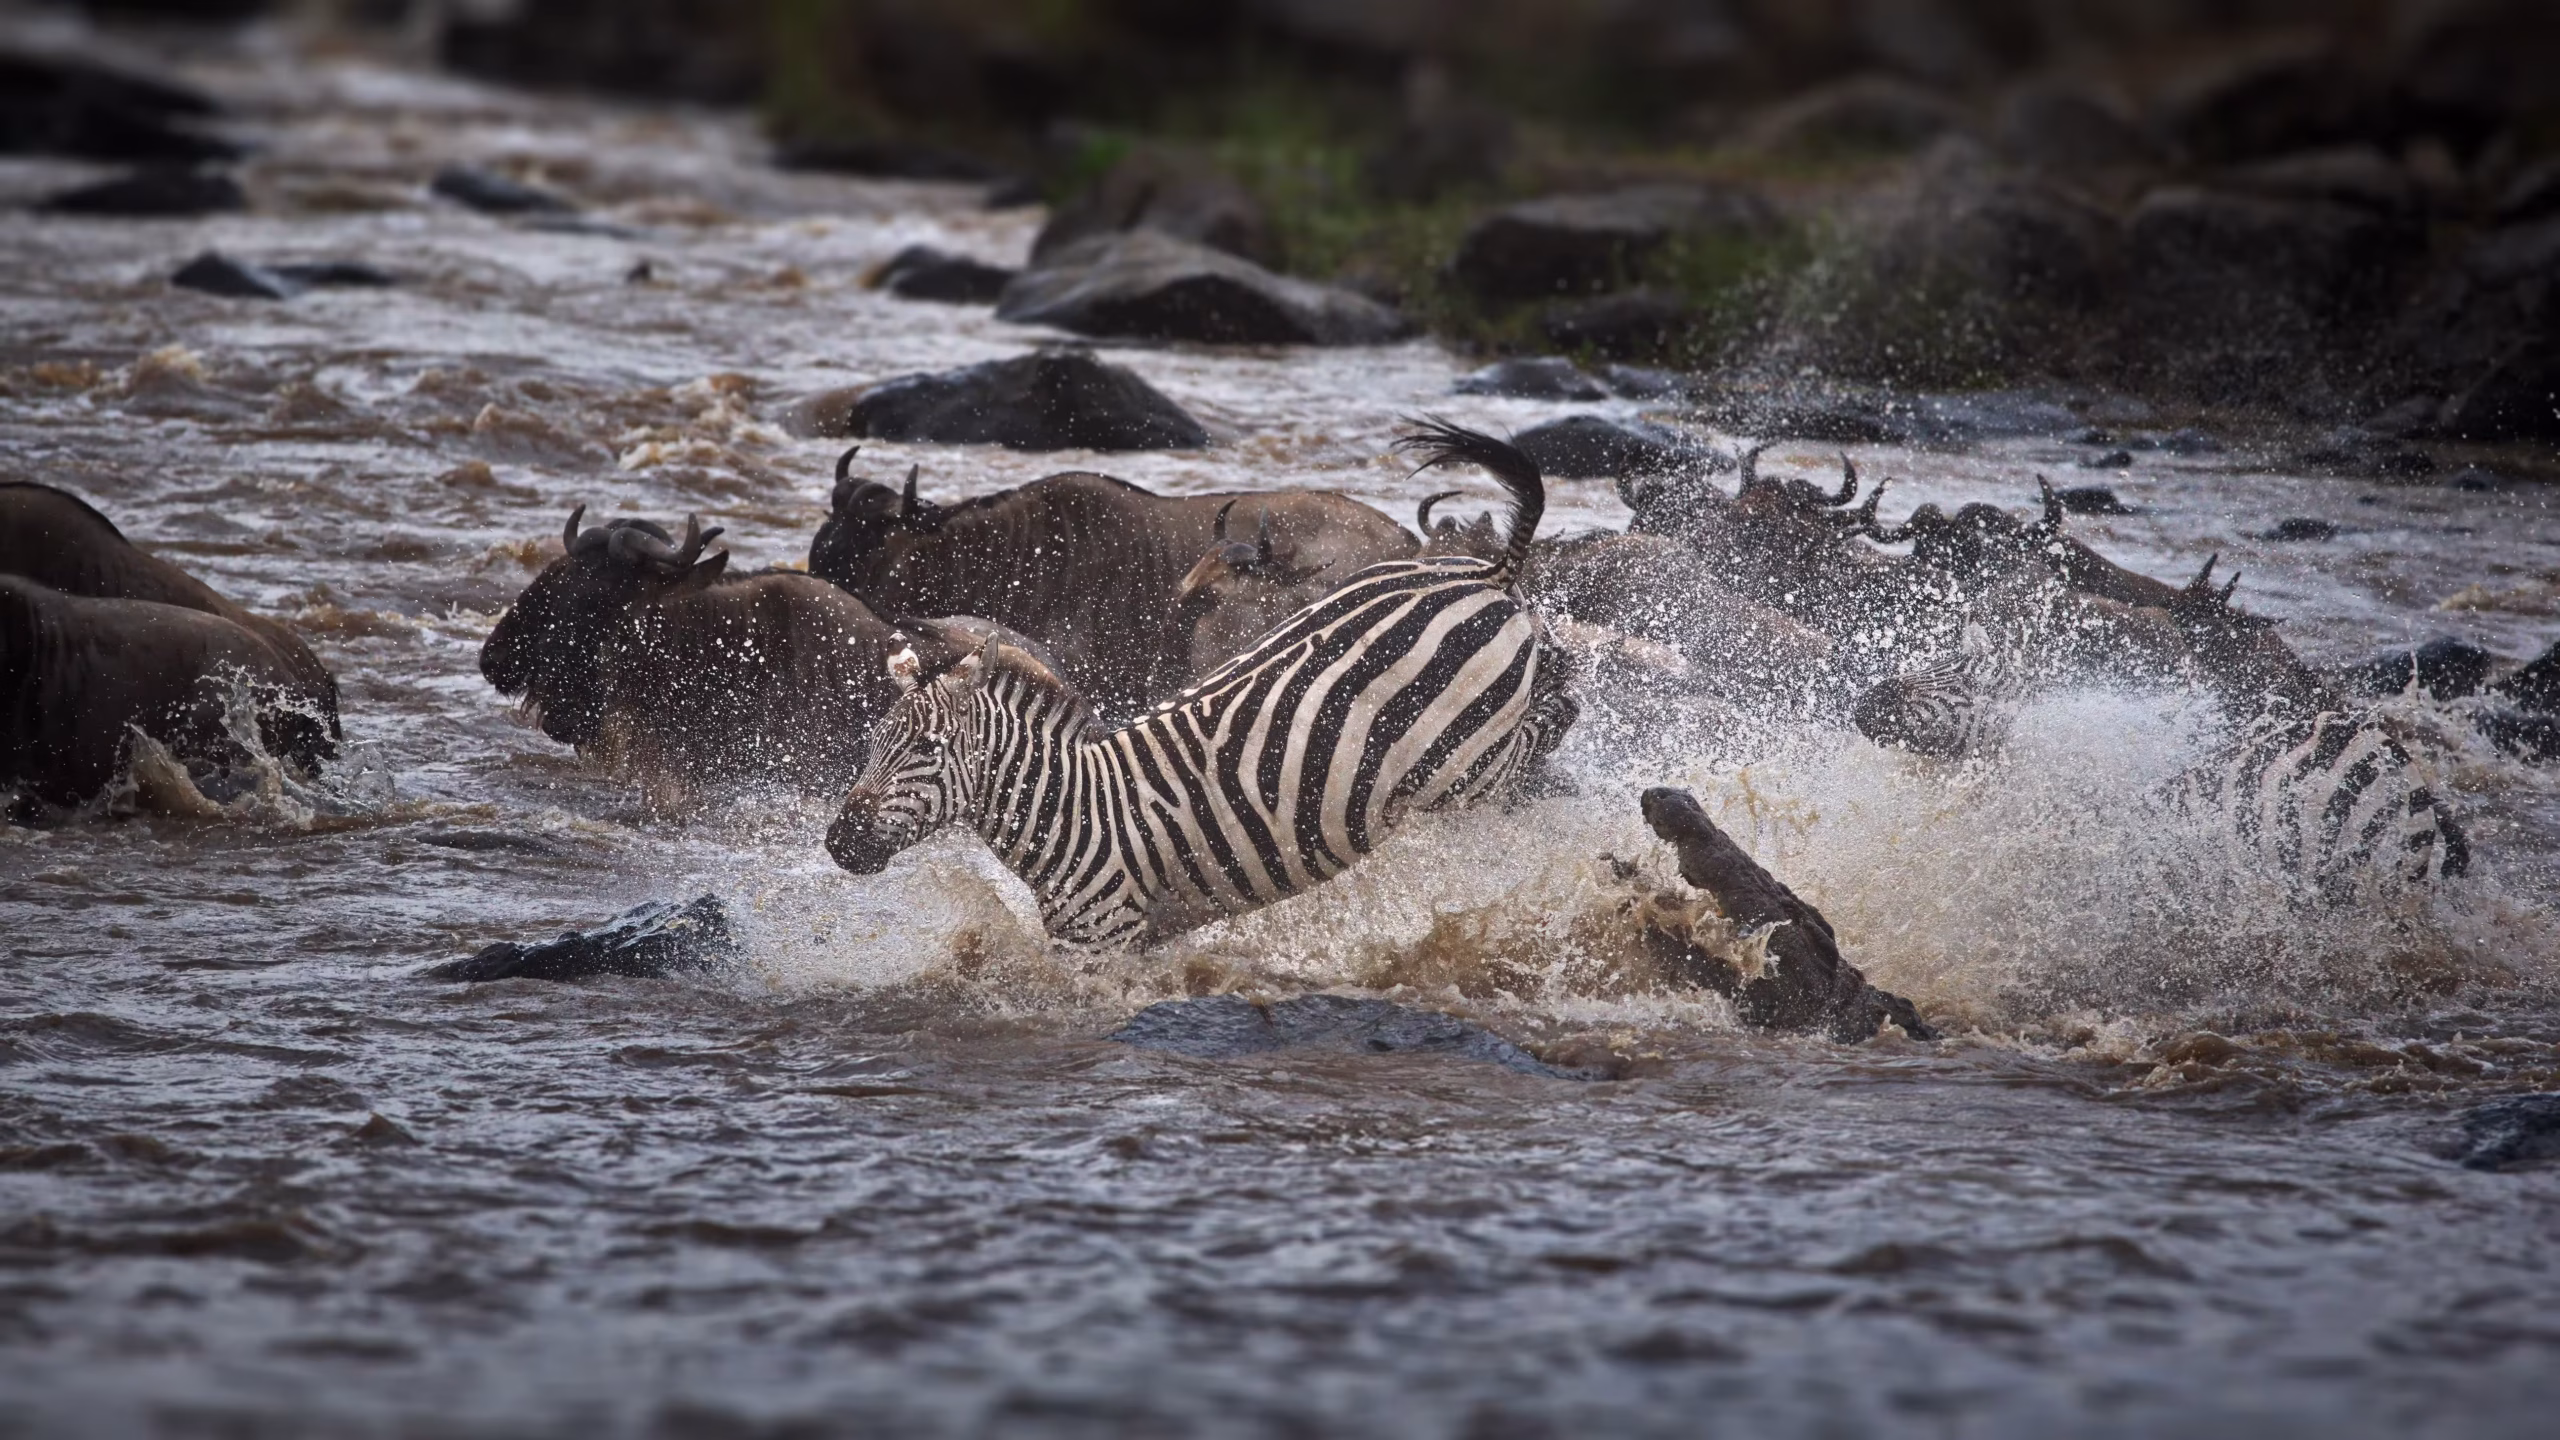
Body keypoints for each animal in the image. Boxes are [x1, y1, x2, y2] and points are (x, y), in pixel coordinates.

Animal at [823, 420, 1579, 950]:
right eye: (876, 743)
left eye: (926, 751)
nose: (836, 843)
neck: (1070, 808)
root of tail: (1482, 571)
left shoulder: (1103, 943)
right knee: (1556, 692)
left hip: (1465, 761)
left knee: (1540, 734)